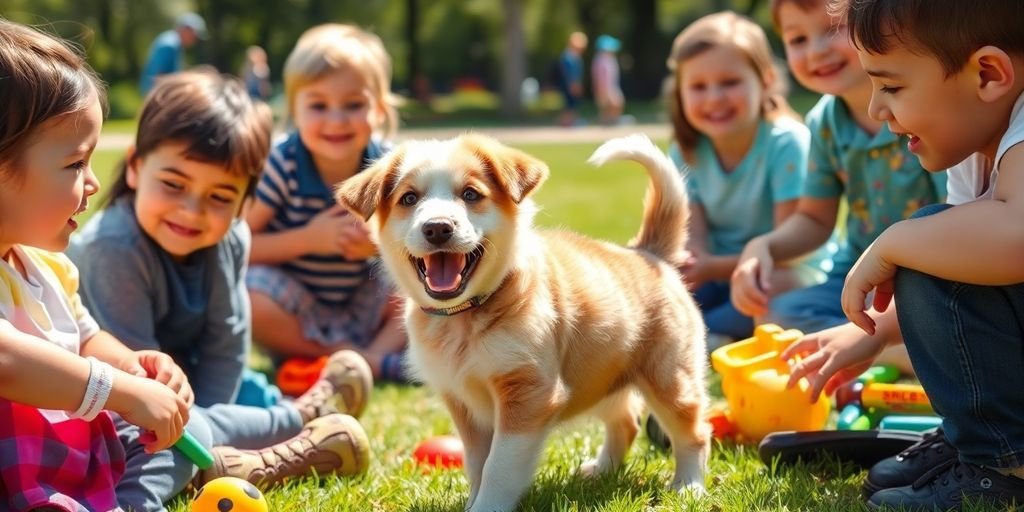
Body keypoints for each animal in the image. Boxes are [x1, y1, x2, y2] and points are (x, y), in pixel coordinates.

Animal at [339, 134, 708, 509]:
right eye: (409, 198)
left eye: (471, 194)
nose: (438, 228)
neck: (466, 318)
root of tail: (648, 253)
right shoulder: (462, 400)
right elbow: (477, 463)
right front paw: (473, 502)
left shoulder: (528, 393)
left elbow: (499, 466)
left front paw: (487, 507)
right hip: (602, 375)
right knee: (627, 420)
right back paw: (602, 471)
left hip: (669, 377)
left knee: (693, 431)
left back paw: (688, 486)